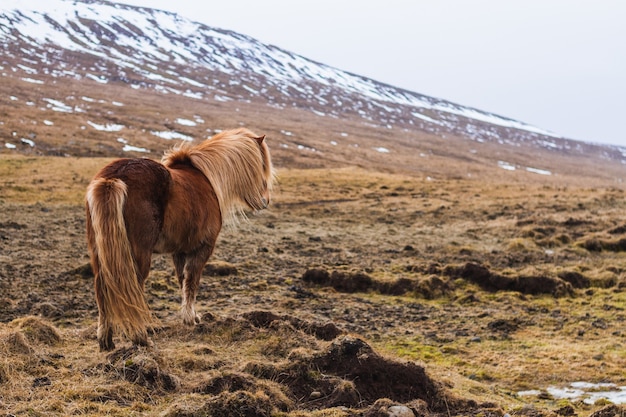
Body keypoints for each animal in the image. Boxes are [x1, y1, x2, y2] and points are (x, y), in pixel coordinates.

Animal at [85, 128, 272, 350]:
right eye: (262, 165)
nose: (265, 201)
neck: (208, 178)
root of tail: (112, 179)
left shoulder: (179, 251)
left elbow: (182, 280)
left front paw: (190, 316)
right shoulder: (202, 248)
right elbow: (192, 281)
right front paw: (191, 319)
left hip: (100, 252)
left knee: (102, 287)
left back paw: (105, 341)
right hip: (137, 254)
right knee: (131, 286)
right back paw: (141, 337)